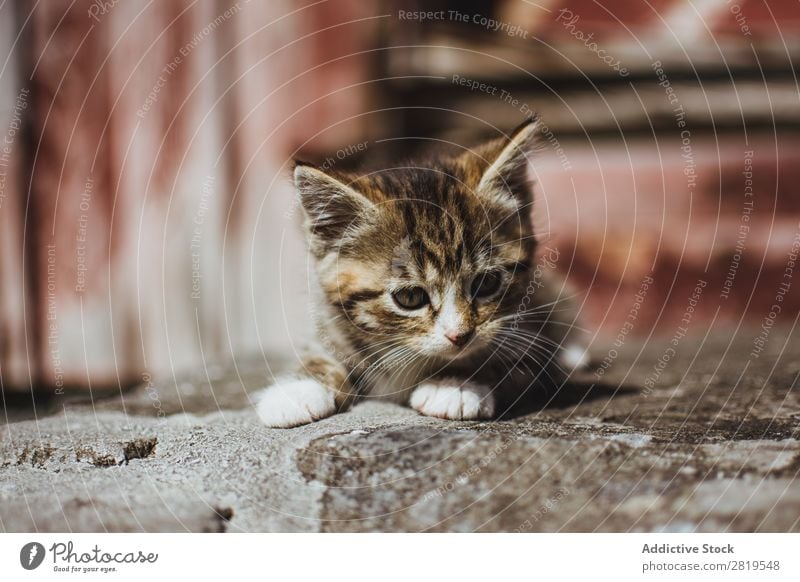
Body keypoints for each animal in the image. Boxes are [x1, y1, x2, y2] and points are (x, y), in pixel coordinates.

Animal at [256, 118, 588, 428]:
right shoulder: (332, 320)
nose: (460, 336)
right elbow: (320, 351)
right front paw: (299, 389)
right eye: (410, 297)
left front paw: (455, 384)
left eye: (487, 283)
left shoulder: (531, 329)